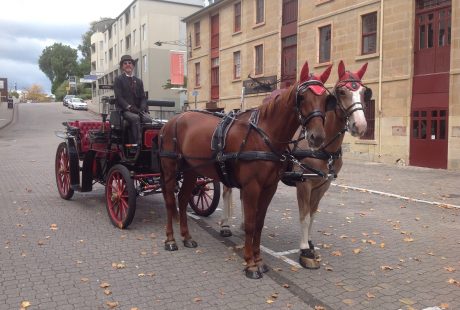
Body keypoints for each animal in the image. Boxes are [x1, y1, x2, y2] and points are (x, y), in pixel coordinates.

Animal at [159, 60, 334, 278]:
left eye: (326, 99)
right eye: (302, 97)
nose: (317, 137)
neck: (264, 135)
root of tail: (172, 121)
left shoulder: (269, 188)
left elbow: (258, 224)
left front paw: (259, 260)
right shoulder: (252, 187)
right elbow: (250, 224)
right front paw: (250, 263)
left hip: (191, 171)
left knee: (182, 200)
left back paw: (186, 237)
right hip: (170, 171)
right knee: (169, 202)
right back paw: (170, 240)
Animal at [218, 60, 370, 268]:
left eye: (363, 92)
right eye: (341, 92)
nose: (360, 126)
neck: (324, 148)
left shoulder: (322, 185)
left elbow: (312, 215)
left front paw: (310, 243)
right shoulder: (304, 184)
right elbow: (304, 216)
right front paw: (305, 250)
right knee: (226, 192)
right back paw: (225, 224)